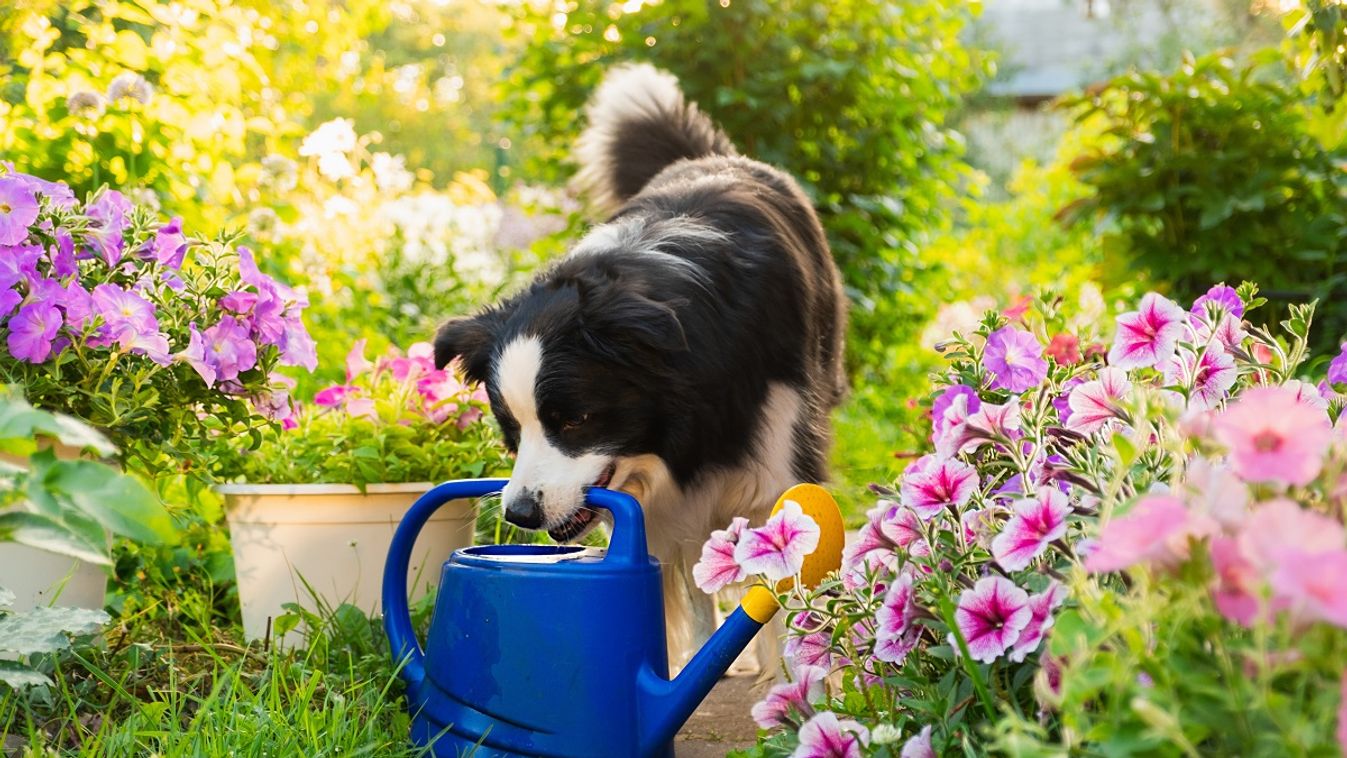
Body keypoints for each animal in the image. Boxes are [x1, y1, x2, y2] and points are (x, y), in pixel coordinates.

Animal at [436, 65, 845, 670]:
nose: (520, 515)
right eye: (510, 429)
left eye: (575, 420)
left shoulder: (776, 447)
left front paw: (796, 683)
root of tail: (713, 154)